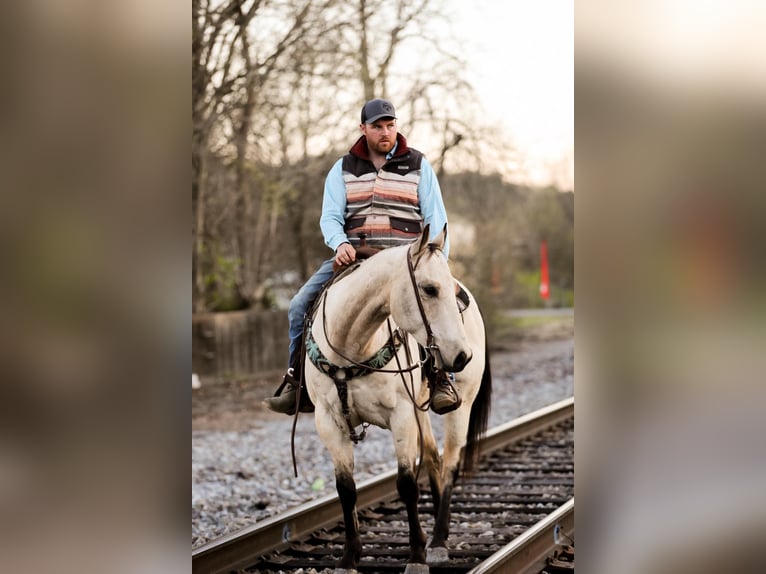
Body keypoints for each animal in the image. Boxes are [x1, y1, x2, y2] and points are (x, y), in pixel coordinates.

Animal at [304, 225, 496, 574]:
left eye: (449, 289)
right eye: (429, 289)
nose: (462, 356)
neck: (352, 346)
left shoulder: (401, 416)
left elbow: (406, 484)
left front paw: (417, 556)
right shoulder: (328, 421)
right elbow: (346, 489)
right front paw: (349, 557)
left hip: (460, 405)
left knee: (450, 463)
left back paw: (438, 541)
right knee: (433, 458)